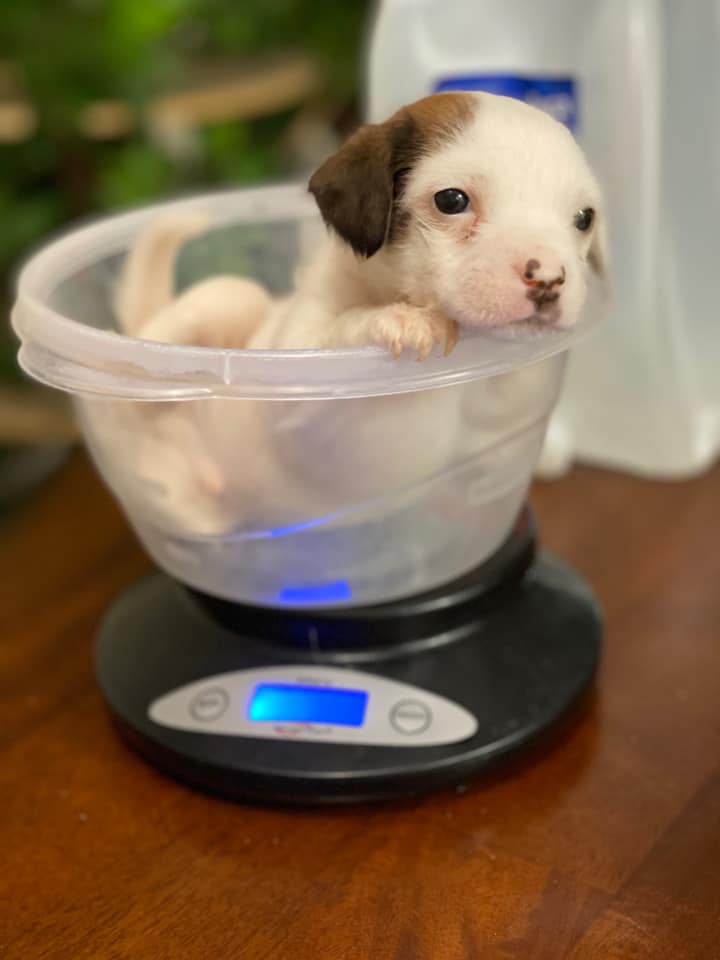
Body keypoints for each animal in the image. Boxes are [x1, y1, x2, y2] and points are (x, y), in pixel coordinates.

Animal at [105, 93, 600, 536]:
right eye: (452, 200)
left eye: (584, 218)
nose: (550, 279)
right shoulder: (294, 363)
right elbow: (342, 327)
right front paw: (401, 318)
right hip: (228, 301)